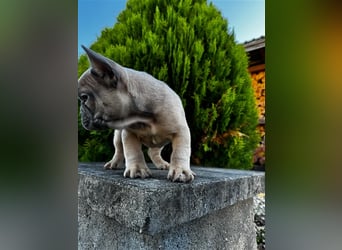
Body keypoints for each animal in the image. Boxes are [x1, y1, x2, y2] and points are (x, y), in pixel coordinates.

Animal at [78, 45, 195, 182]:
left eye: (84, 97)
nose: (80, 110)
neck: (143, 117)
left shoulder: (180, 131)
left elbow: (180, 152)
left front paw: (181, 172)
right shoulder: (128, 133)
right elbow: (133, 151)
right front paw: (138, 169)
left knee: (153, 151)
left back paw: (162, 164)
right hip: (118, 136)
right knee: (119, 149)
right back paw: (113, 163)